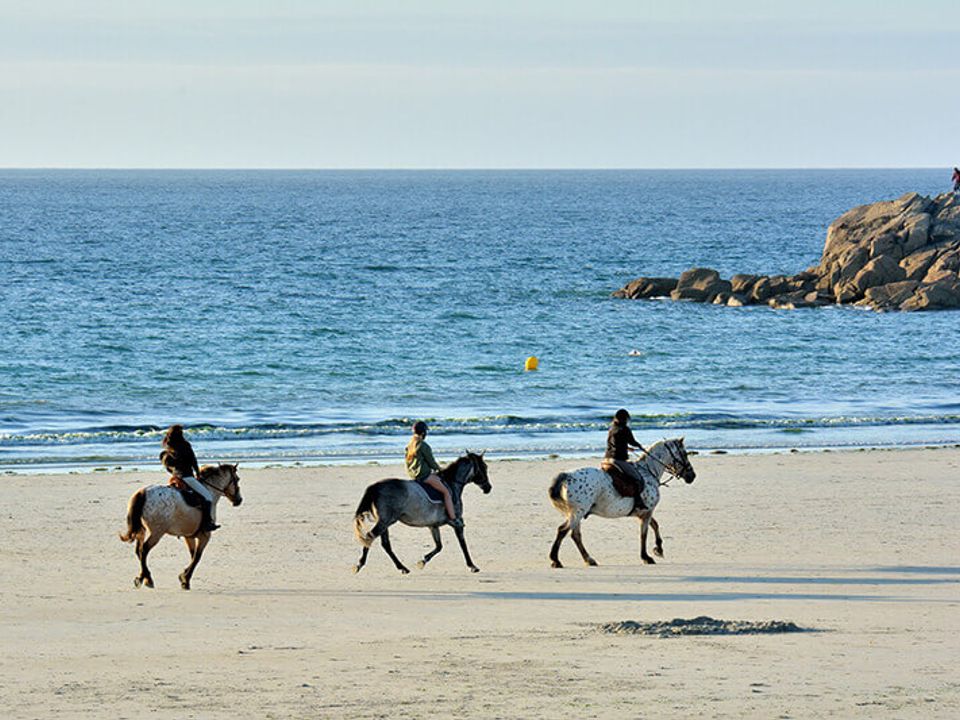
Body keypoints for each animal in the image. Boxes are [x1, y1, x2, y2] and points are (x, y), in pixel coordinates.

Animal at [350, 452, 492, 576]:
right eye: (484, 467)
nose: (488, 488)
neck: (451, 484)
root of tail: (376, 486)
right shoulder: (457, 522)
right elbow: (462, 544)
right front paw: (472, 566)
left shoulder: (433, 526)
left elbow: (439, 546)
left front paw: (422, 561)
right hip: (385, 521)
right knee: (370, 536)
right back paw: (359, 564)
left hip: (385, 523)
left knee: (385, 544)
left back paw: (402, 568)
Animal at [548, 438, 696, 568]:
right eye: (684, 454)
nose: (692, 476)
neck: (648, 471)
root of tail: (566, 476)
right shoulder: (647, 512)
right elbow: (644, 533)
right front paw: (646, 557)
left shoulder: (644, 512)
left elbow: (655, 525)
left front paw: (658, 549)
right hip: (578, 513)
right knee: (563, 531)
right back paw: (556, 560)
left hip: (575, 514)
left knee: (575, 535)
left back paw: (588, 559)